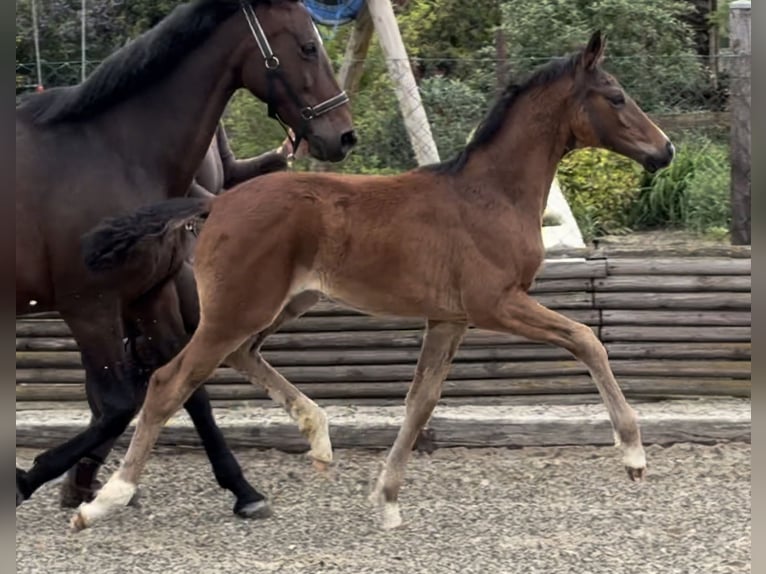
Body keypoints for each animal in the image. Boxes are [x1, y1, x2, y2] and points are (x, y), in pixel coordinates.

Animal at [15, 0, 356, 519]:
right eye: (307, 47)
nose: (344, 136)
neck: (115, 152)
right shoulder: (89, 305)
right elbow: (118, 403)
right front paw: (27, 478)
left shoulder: (149, 296)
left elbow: (181, 388)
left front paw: (243, 490)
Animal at [72, 31, 674, 532]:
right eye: (616, 97)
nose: (665, 150)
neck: (492, 193)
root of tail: (215, 203)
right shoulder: (496, 303)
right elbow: (586, 339)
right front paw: (633, 456)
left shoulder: (449, 318)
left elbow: (421, 401)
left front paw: (386, 499)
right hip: (239, 308)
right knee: (168, 382)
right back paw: (102, 502)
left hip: (283, 303)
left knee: (242, 355)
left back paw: (317, 436)